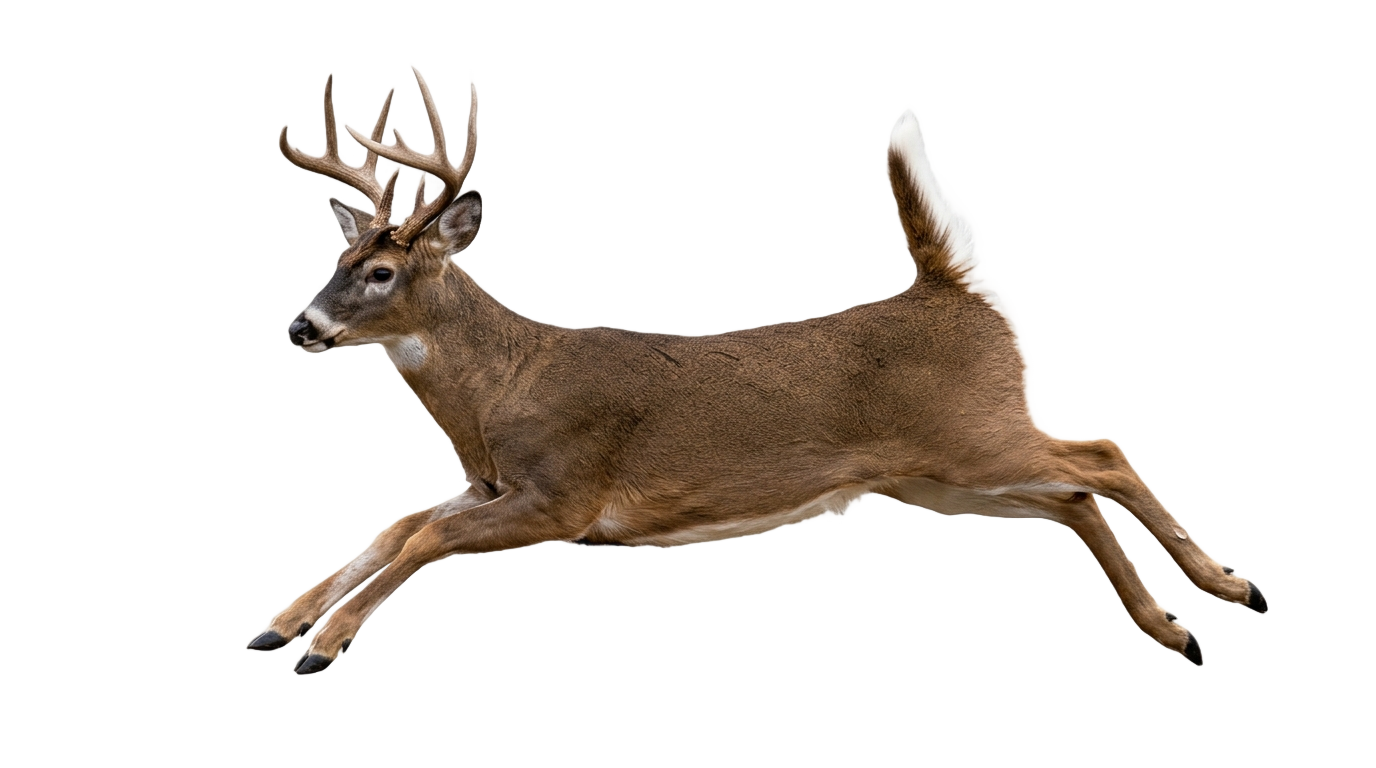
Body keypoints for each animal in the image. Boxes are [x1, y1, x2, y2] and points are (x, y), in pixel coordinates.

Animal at [247, 69, 1279, 677]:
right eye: (340, 259)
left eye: (381, 273)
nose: (301, 326)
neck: (498, 393)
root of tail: (949, 288)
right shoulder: (494, 486)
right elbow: (396, 524)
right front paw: (280, 624)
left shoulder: (567, 495)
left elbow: (420, 535)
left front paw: (325, 642)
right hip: (935, 471)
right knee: (1078, 487)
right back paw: (1193, 616)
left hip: (970, 438)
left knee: (1099, 459)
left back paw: (1216, 603)